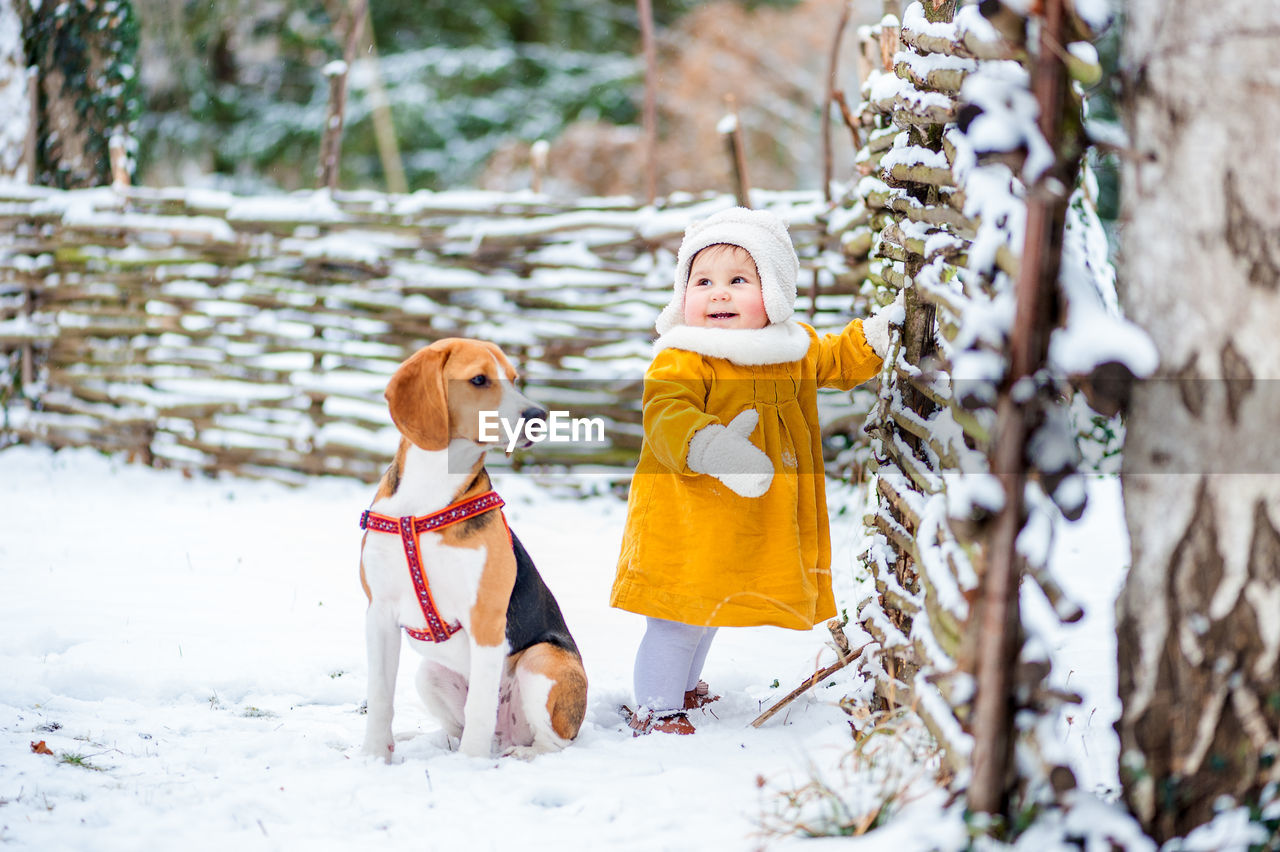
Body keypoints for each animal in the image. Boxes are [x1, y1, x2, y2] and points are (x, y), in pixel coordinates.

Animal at [360, 337, 588, 757]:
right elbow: (381, 696)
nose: (538, 416)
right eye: (479, 379)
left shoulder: (485, 620)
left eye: (514, 379)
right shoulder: (379, 613)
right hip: (429, 673)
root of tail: (506, 738)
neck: (430, 493)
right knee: (455, 726)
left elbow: (480, 706)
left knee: (553, 743)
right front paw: (373, 756)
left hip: (542, 660)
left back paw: (517, 753)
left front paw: (469, 764)